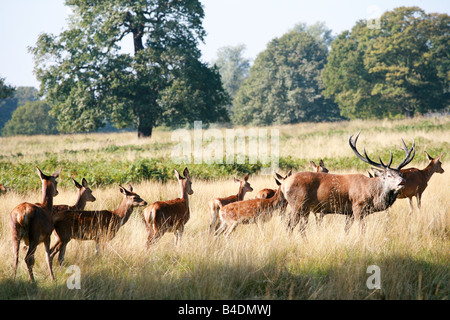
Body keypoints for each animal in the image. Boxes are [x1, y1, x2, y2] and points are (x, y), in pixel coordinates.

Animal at [282, 132, 414, 235]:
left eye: (400, 174)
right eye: (388, 175)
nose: (402, 182)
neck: (371, 192)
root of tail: (284, 184)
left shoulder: (349, 212)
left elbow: (346, 230)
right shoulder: (357, 207)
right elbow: (362, 229)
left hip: (303, 208)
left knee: (294, 225)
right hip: (298, 204)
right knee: (290, 225)